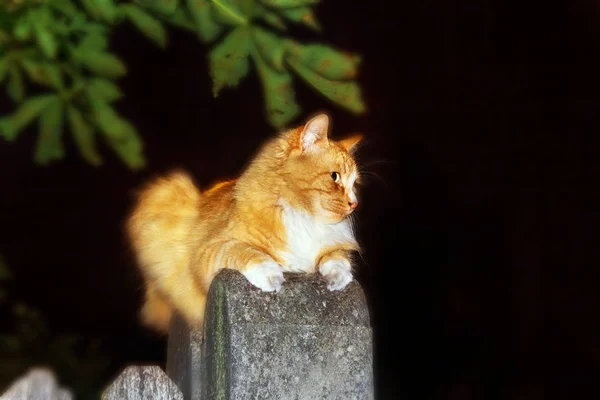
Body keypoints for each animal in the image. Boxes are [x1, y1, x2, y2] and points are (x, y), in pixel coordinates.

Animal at [125, 113, 360, 334]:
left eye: (354, 184)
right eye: (334, 176)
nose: (354, 203)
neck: (304, 217)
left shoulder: (333, 246)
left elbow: (337, 257)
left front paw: (338, 277)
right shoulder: (211, 249)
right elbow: (246, 252)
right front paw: (271, 274)